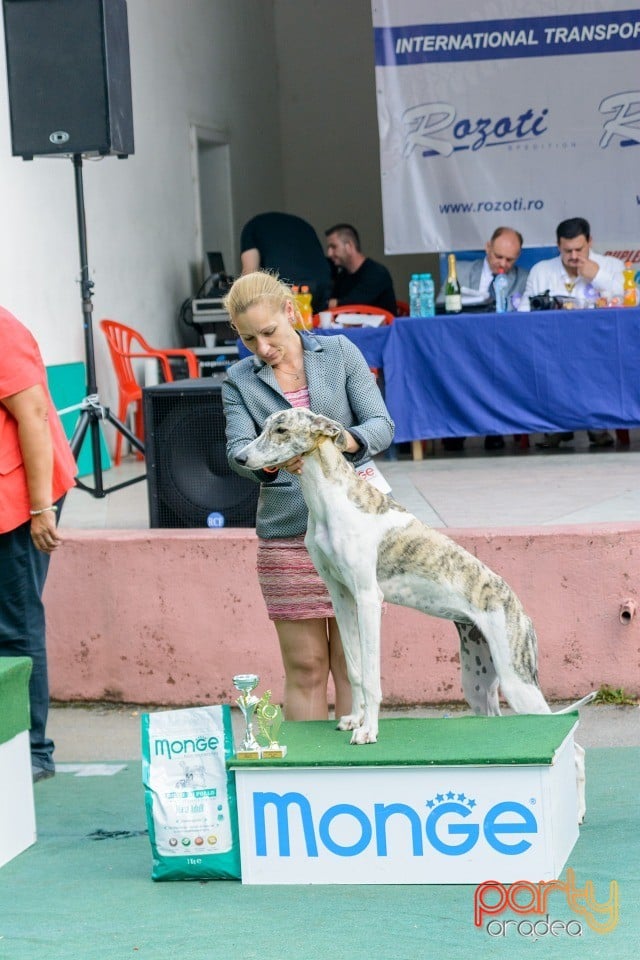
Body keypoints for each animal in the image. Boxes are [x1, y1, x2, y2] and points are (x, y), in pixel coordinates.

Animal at [238, 408, 596, 820]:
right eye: (263, 427)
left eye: (281, 430)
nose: (240, 458)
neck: (331, 501)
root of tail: (519, 607)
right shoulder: (340, 597)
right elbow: (356, 671)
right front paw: (355, 719)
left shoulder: (367, 598)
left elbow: (372, 677)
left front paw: (368, 731)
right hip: (478, 682)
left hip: (517, 681)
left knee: (576, 749)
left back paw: (578, 812)